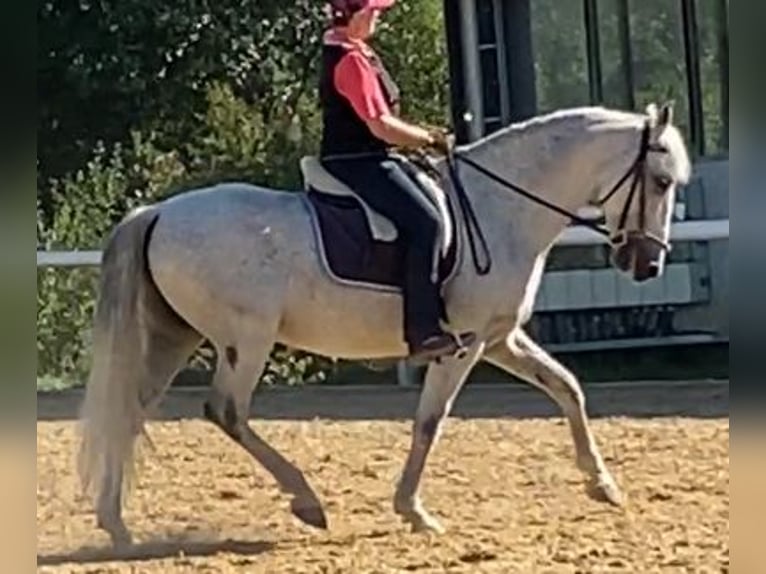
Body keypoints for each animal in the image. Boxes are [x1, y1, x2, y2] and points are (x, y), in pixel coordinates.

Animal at [77, 102, 691, 546]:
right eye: (661, 181)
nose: (648, 264)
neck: (502, 209)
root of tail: (158, 212)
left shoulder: (500, 339)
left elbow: (567, 388)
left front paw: (603, 485)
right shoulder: (462, 346)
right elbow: (430, 421)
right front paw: (414, 511)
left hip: (174, 337)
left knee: (130, 408)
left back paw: (116, 524)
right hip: (244, 340)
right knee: (226, 410)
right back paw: (307, 501)